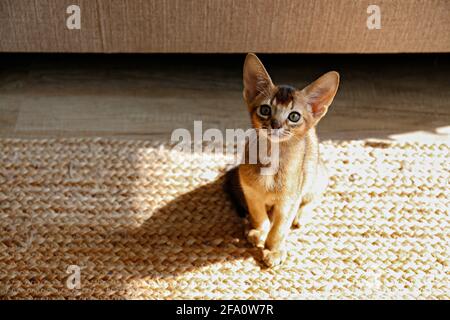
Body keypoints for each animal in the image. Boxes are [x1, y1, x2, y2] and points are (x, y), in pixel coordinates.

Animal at [223, 53, 340, 268]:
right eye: (265, 110)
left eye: (294, 116)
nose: (276, 124)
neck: (272, 158)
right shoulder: (251, 193)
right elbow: (258, 215)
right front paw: (259, 231)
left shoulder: (289, 201)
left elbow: (279, 228)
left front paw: (273, 250)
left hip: (315, 178)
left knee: (315, 196)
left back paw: (301, 215)